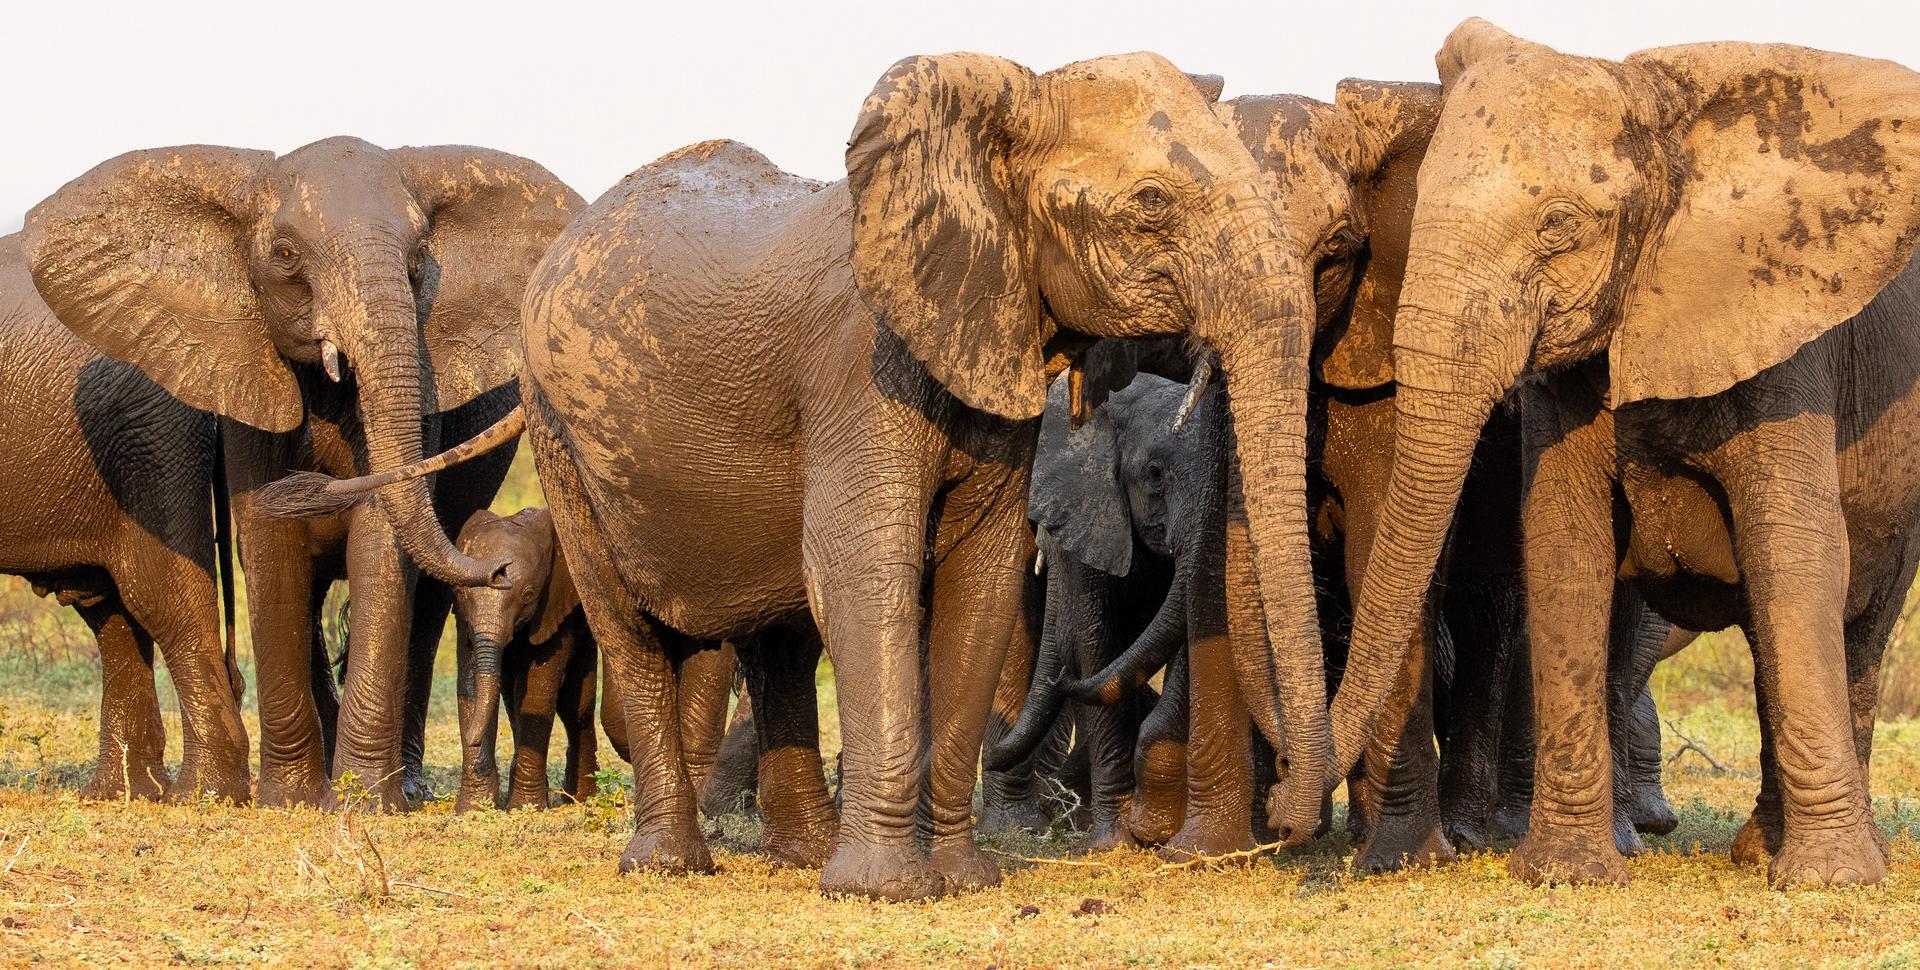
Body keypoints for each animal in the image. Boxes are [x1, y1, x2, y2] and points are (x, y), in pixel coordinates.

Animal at [451, 508, 598, 813]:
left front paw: (524, 808)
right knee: (512, 699)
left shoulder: (554, 605)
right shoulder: (464, 620)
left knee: (575, 707)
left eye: (529, 595)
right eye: (461, 593)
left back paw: (581, 798)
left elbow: (537, 694)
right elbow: (471, 684)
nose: (471, 739)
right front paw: (474, 809)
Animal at [507, 54, 1336, 900]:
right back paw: (671, 864)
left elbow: (983, 586)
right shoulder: (860, 365)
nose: (1287, 818)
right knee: (630, 628)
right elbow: (865, 570)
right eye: (1151, 202)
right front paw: (884, 890)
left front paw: (963, 880)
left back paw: (801, 856)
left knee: (780, 640)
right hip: (555, 433)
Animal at [1325, 18, 1920, 889]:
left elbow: (1793, 550)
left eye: (1558, 225)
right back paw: (1739, 848)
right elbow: (1566, 544)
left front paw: (1830, 882)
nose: (1288, 805)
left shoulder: (1789, 334)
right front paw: (1567, 873)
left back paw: (1811, 853)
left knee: (1861, 625)